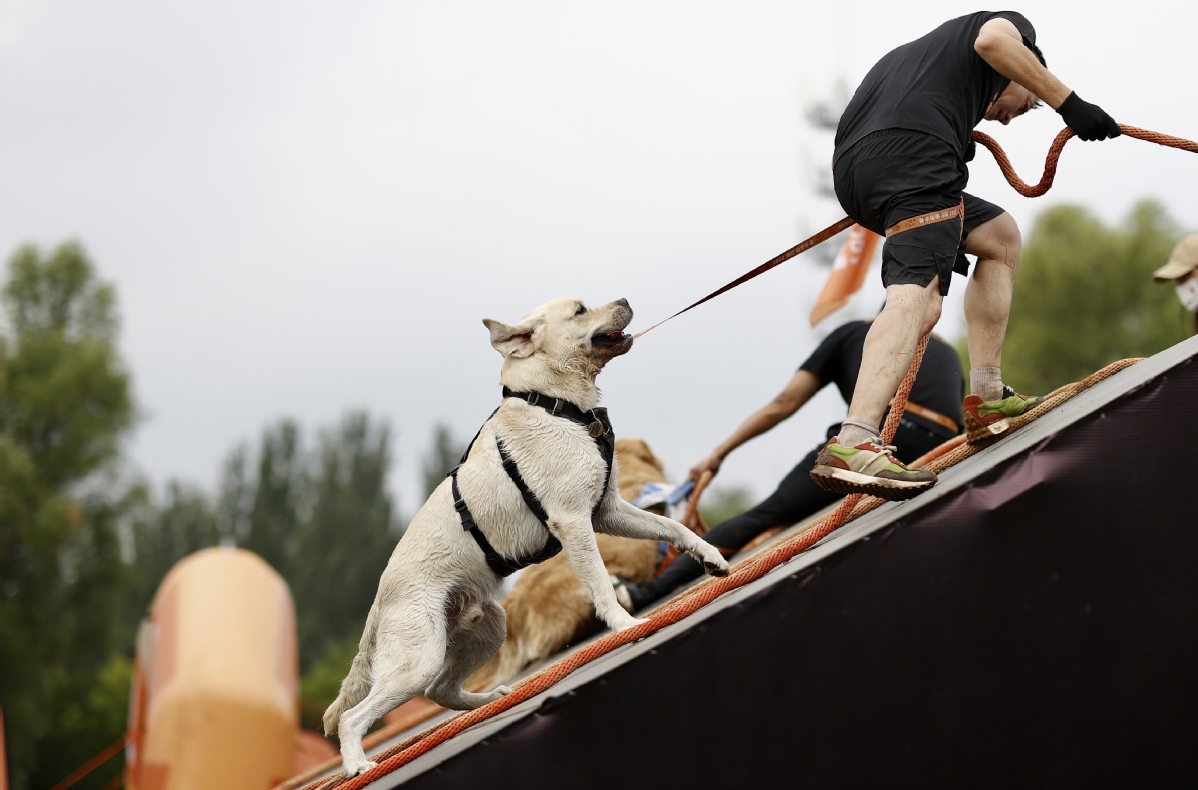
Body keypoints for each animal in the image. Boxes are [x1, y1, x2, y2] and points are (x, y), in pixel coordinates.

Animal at [321, 294, 728, 772]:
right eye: (580, 310)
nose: (626, 299)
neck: (554, 403)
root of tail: (378, 602)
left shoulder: (606, 511)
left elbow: (673, 525)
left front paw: (711, 558)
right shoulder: (574, 521)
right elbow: (602, 585)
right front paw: (626, 625)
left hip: (487, 630)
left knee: (441, 690)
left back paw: (490, 700)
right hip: (418, 659)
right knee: (354, 716)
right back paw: (357, 765)